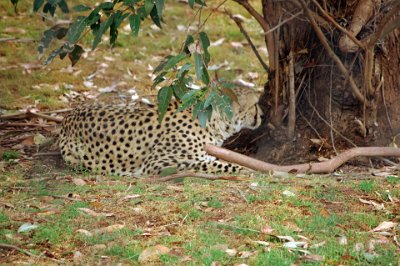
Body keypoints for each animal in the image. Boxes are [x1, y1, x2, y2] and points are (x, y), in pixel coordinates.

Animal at [59, 87, 262, 178]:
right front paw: (251, 169)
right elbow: (219, 165)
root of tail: (68, 116)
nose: (262, 115)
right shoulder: (157, 164)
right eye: (255, 104)